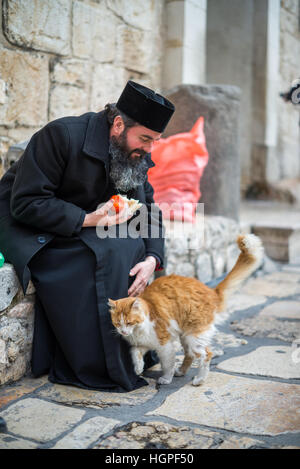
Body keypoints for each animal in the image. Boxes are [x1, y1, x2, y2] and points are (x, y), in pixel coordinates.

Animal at [109, 233, 264, 384]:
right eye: (117, 323)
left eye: (129, 322)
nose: (123, 332)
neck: (139, 330)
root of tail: (211, 291)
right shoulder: (142, 344)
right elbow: (135, 353)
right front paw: (138, 368)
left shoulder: (164, 344)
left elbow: (167, 364)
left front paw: (166, 379)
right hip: (185, 337)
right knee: (190, 355)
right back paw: (181, 372)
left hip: (194, 336)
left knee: (206, 354)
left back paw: (199, 380)